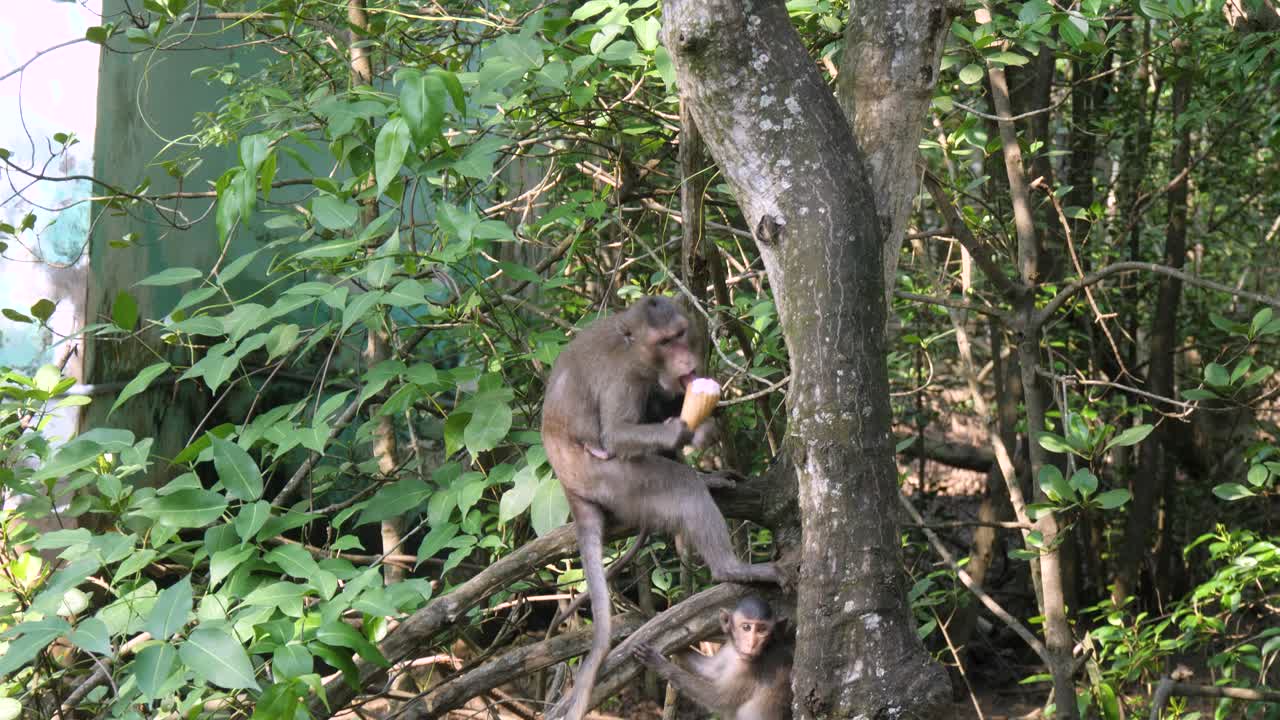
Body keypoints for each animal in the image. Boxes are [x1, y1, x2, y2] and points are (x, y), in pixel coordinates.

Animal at [633, 595, 793, 720]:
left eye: (762, 630)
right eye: (746, 627)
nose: (752, 644)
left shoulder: (750, 669)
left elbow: (717, 698)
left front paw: (660, 664)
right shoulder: (729, 648)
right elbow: (710, 669)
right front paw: (677, 646)